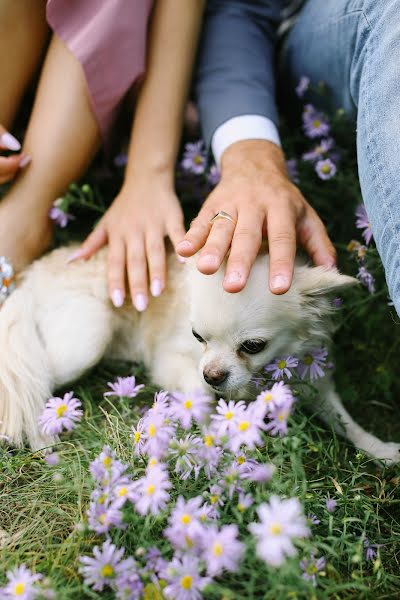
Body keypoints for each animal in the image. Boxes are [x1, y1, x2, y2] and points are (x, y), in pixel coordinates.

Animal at [0, 245, 400, 464]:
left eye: (253, 346)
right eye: (197, 337)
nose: (213, 374)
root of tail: (30, 279)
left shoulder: (311, 380)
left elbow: (345, 422)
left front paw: (380, 449)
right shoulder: (170, 361)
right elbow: (200, 397)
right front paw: (218, 439)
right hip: (88, 337)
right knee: (37, 380)